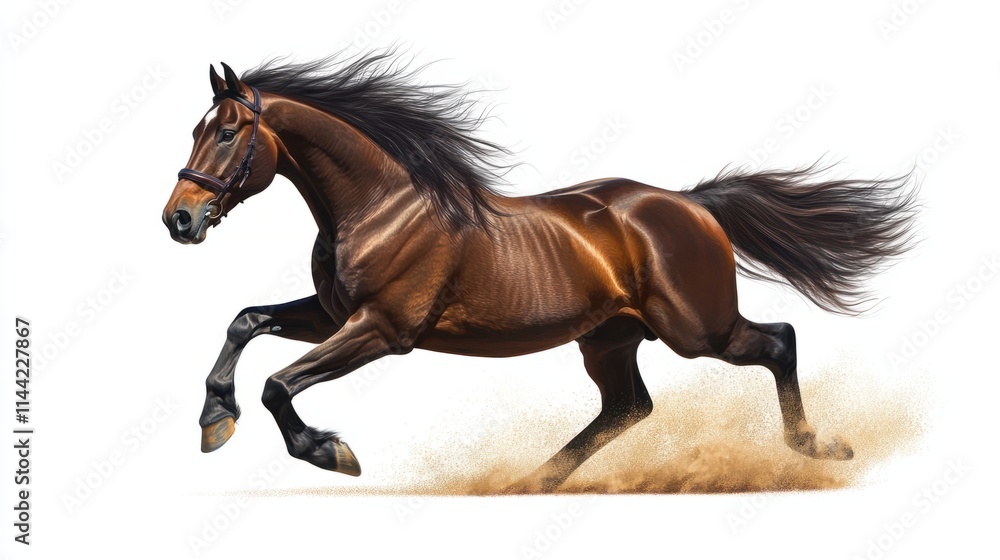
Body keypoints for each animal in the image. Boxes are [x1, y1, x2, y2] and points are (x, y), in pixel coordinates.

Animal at [162, 51, 916, 492]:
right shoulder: (332, 314)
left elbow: (278, 384)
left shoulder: (382, 328)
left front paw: (328, 452)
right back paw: (529, 482)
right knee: (627, 407)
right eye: (195, 129)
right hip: (609, 337)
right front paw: (214, 418)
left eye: (225, 131)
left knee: (779, 340)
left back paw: (818, 446)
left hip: (698, 330)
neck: (383, 206)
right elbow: (245, 322)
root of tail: (692, 204)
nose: (180, 220)